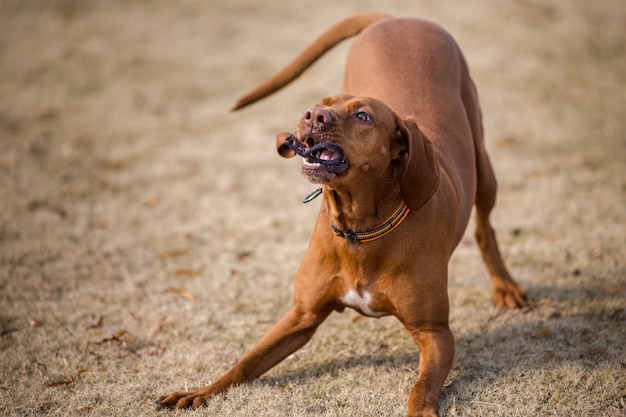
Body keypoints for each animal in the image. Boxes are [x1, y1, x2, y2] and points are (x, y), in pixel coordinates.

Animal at [155, 11, 528, 414]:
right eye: (322, 102)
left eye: (363, 116)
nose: (312, 115)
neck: (360, 229)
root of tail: (398, 17)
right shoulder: (301, 315)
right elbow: (245, 362)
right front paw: (198, 392)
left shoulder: (436, 333)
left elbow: (421, 387)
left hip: (484, 166)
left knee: (485, 228)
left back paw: (506, 287)